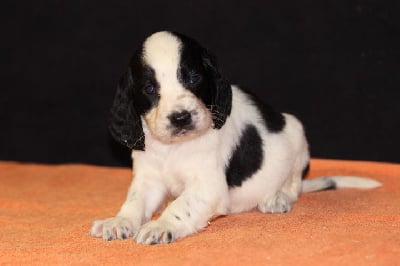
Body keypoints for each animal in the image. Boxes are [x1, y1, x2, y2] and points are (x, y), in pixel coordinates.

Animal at [90, 31, 382, 245]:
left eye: (193, 77)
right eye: (150, 89)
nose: (181, 117)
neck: (175, 148)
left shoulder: (208, 186)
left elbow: (182, 205)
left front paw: (161, 225)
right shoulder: (148, 177)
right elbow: (135, 201)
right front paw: (119, 221)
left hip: (297, 134)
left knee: (293, 185)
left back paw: (277, 197)